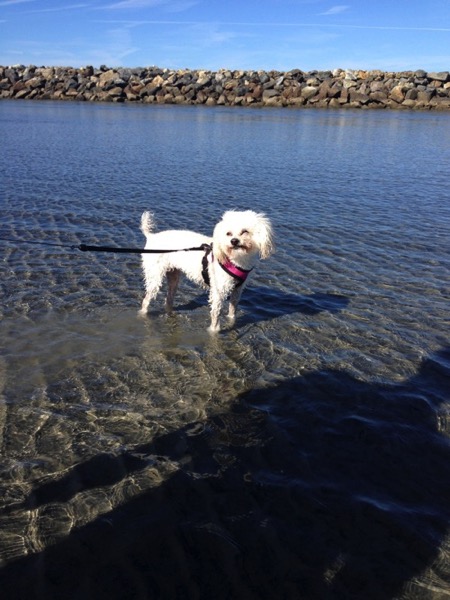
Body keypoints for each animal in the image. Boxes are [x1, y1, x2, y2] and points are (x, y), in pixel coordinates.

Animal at [139, 210, 274, 332]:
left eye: (245, 231)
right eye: (228, 233)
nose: (234, 241)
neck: (235, 259)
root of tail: (151, 237)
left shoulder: (237, 290)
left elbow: (233, 310)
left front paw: (231, 321)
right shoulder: (219, 290)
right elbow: (216, 314)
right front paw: (214, 331)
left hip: (173, 276)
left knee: (168, 299)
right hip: (154, 277)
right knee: (146, 300)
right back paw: (142, 314)